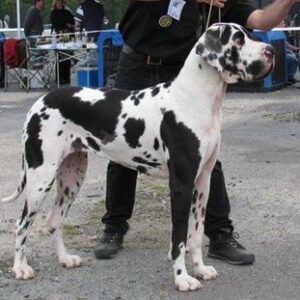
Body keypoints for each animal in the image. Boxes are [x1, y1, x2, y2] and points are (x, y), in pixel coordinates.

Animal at [2, 23, 274, 290]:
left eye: (248, 34)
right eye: (238, 39)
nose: (270, 50)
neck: (194, 98)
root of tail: (40, 101)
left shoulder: (203, 181)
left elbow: (196, 234)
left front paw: (200, 269)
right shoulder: (181, 184)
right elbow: (179, 237)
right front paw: (182, 278)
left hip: (72, 177)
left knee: (54, 220)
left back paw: (65, 259)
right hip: (41, 177)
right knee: (21, 224)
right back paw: (20, 268)